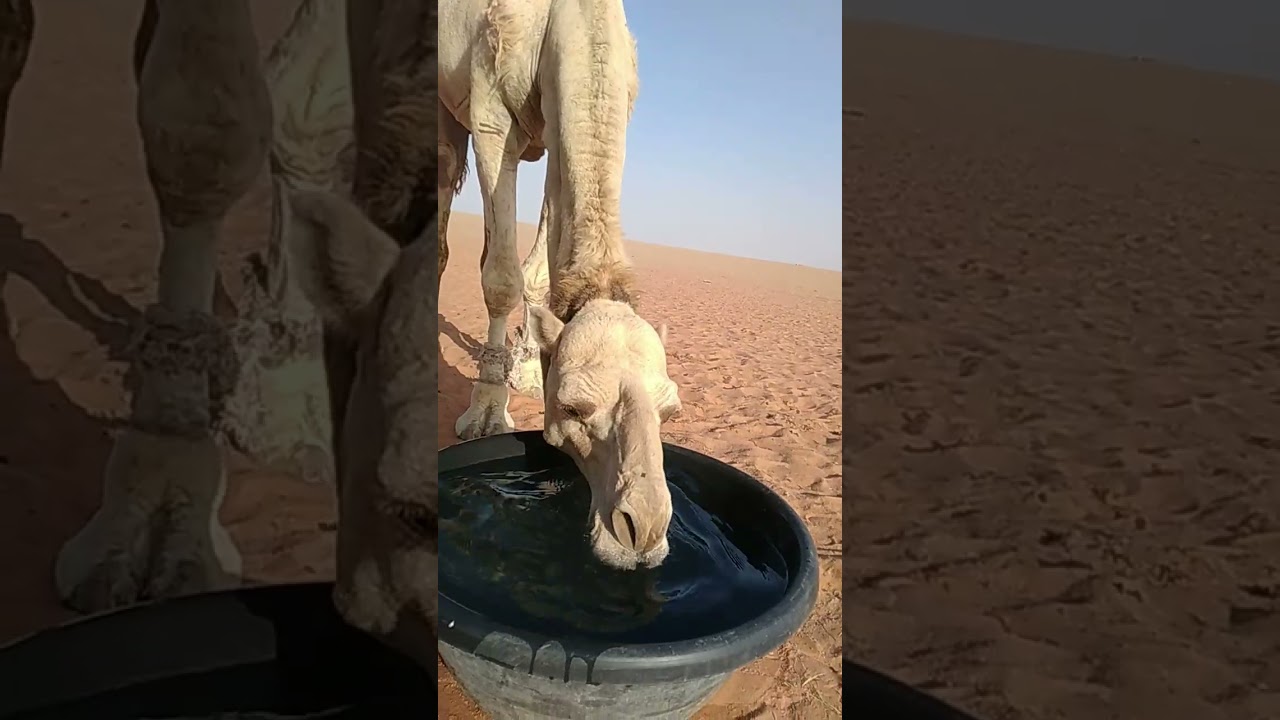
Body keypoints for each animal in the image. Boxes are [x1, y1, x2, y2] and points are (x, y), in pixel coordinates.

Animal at [437, 0, 683, 570]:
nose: (644, 528)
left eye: (669, 412)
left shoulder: (557, 123)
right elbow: (501, 278)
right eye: (573, 409)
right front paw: (487, 412)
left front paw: (529, 367)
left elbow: (542, 271)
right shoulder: (491, 116)